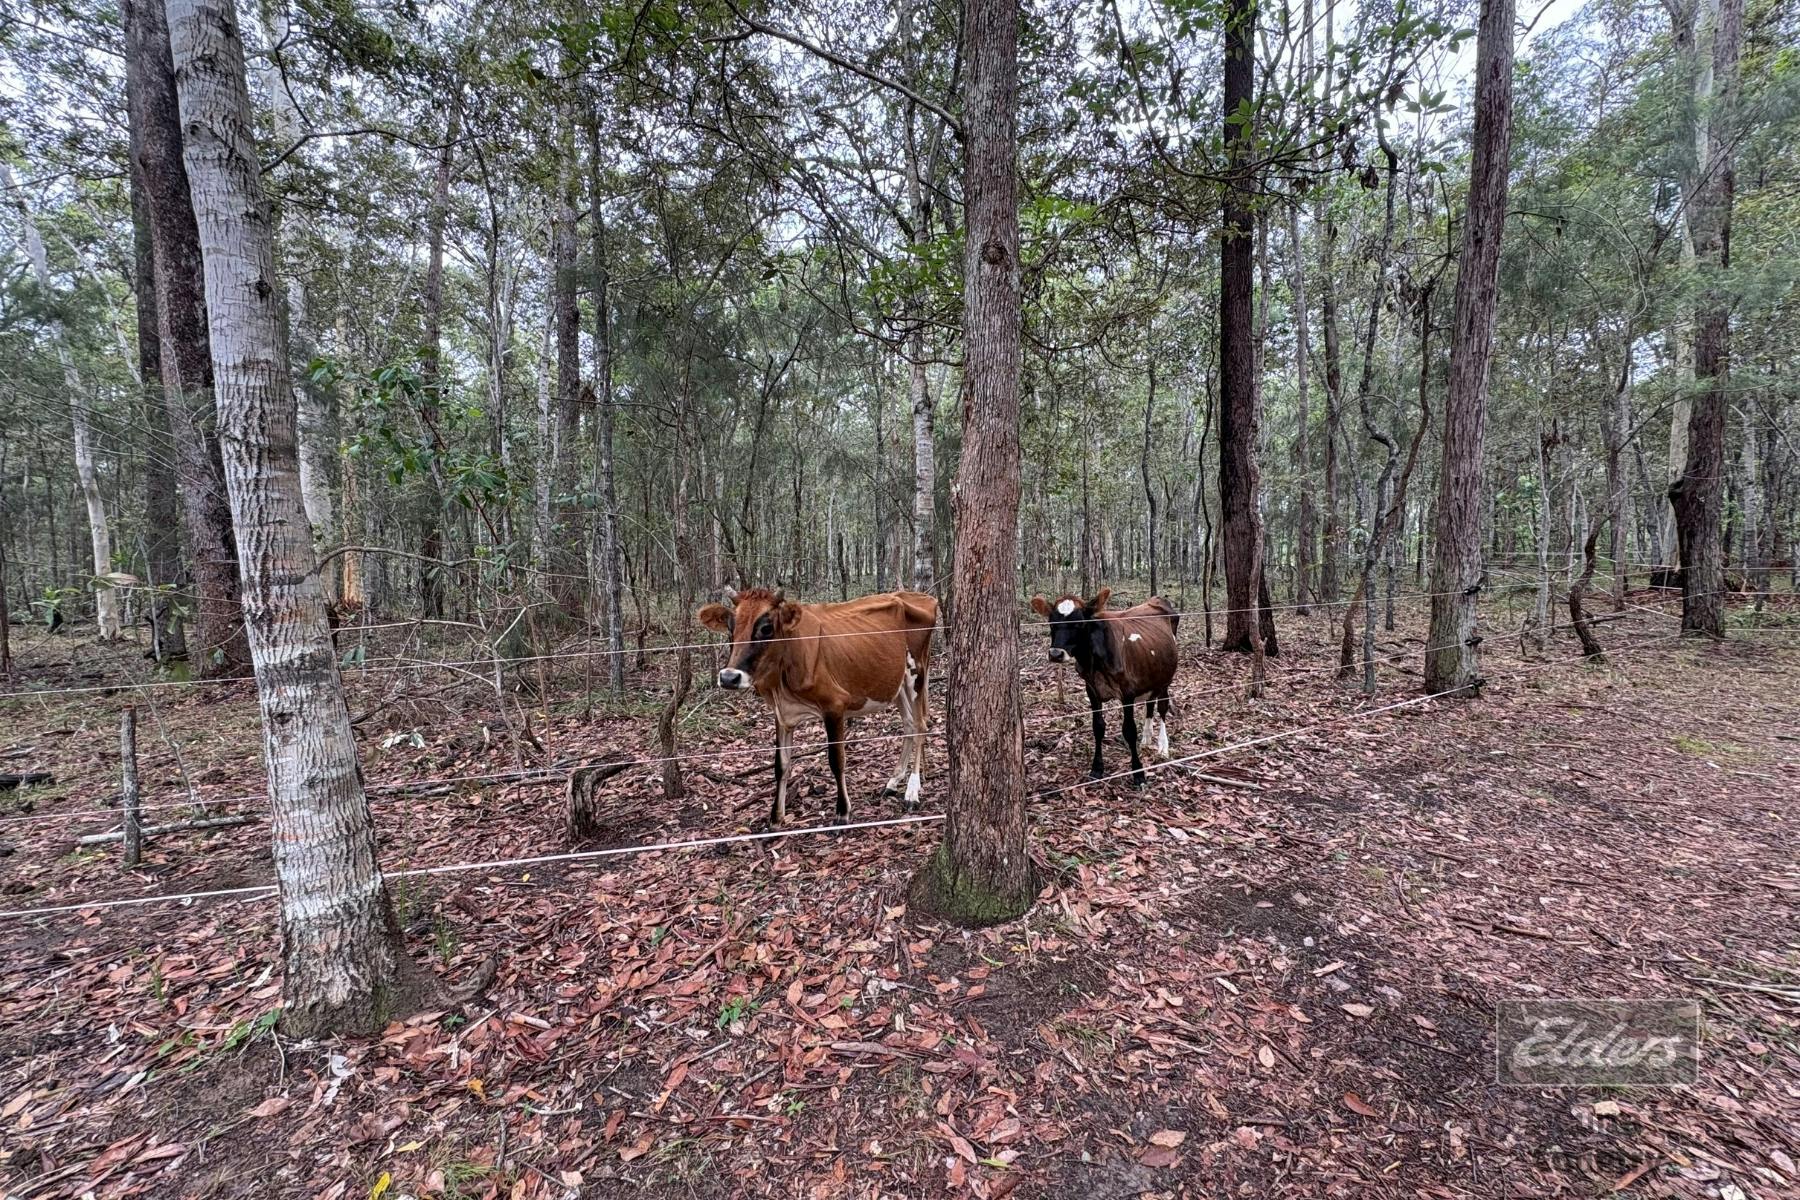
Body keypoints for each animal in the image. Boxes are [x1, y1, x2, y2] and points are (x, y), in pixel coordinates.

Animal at [697, 586, 937, 826]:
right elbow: (781, 765)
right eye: (731, 627)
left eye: (766, 628)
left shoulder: (834, 705)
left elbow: (836, 760)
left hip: (918, 671)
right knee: (908, 724)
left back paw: (912, 792)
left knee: (920, 725)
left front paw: (842, 812)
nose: (729, 677)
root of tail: (920, 596)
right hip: (896, 682)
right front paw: (776, 817)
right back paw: (893, 782)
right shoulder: (782, 714)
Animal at [1029, 588, 1179, 785]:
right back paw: (1146, 738)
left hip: (1165, 678)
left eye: (1079, 624)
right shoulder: (1092, 690)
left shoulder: (1128, 692)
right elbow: (1098, 727)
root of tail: (1157, 599)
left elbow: (1129, 730)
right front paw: (1097, 768)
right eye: (1051, 622)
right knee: (1150, 703)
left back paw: (1163, 746)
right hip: (1149, 674)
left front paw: (1138, 772)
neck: (1093, 661)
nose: (1055, 653)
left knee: (1162, 706)